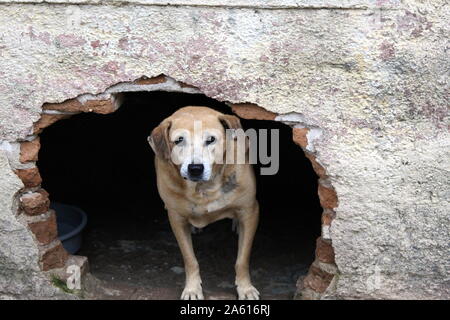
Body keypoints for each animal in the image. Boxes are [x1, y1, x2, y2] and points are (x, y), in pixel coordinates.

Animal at [149, 106, 260, 298]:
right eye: (179, 140)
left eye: (211, 140)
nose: (195, 168)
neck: (203, 188)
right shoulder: (176, 219)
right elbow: (190, 259)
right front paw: (192, 288)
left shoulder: (250, 211)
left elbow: (242, 259)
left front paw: (245, 288)